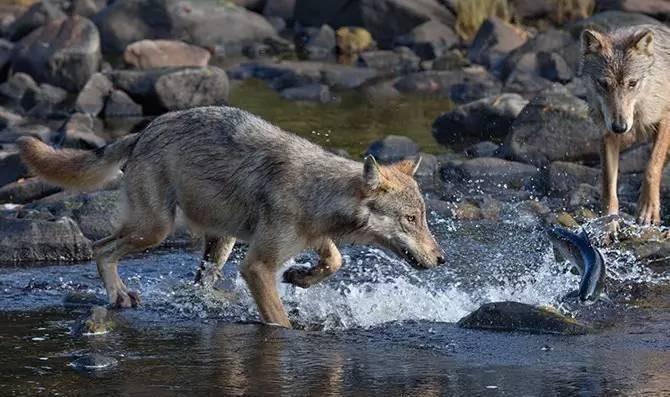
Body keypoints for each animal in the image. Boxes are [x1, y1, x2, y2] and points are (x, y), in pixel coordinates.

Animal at [17, 105, 446, 324]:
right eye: (411, 220)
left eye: (423, 218)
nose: (442, 258)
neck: (318, 193)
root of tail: (146, 129)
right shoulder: (256, 267)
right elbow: (279, 319)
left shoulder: (313, 239)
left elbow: (335, 260)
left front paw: (301, 277)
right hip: (155, 229)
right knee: (101, 247)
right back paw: (119, 296)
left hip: (220, 241)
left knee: (199, 282)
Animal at [584, 24, 670, 227]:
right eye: (603, 84)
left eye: (632, 83)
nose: (620, 127)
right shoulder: (607, 133)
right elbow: (608, 185)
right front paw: (608, 225)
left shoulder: (665, 118)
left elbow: (651, 167)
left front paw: (648, 209)